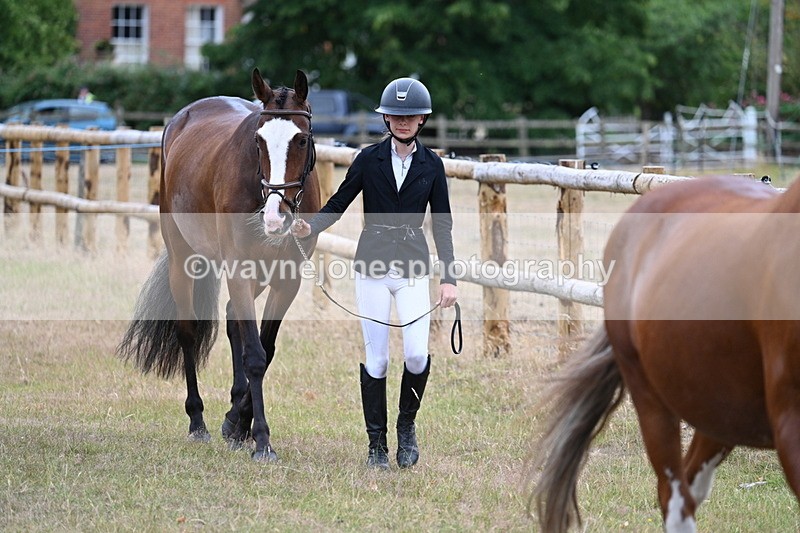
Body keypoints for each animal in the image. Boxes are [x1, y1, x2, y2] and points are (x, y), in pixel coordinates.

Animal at [117, 68, 320, 462]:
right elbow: (255, 354)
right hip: (183, 258)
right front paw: (261, 439)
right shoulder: (239, 269)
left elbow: (266, 348)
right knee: (188, 331)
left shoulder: (287, 280)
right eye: (258, 141)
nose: (276, 217)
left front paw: (239, 423)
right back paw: (198, 422)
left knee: (231, 319)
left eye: (301, 139)